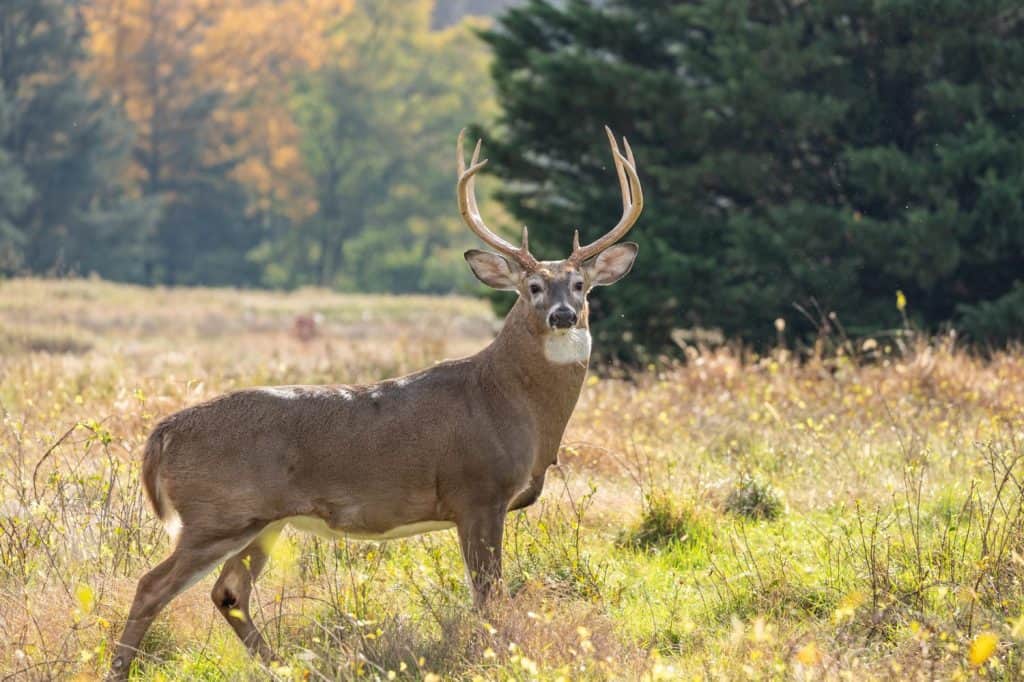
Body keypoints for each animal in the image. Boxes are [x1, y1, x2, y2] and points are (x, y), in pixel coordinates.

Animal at [108, 127, 643, 679]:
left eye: (580, 285)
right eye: (533, 286)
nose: (563, 315)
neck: (510, 403)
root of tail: (163, 433)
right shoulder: (478, 493)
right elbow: (489, 597)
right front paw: (493, 654)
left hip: (262, 521)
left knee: (229, 592)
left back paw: (286, 666)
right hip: (218, 513)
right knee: (153, 586)